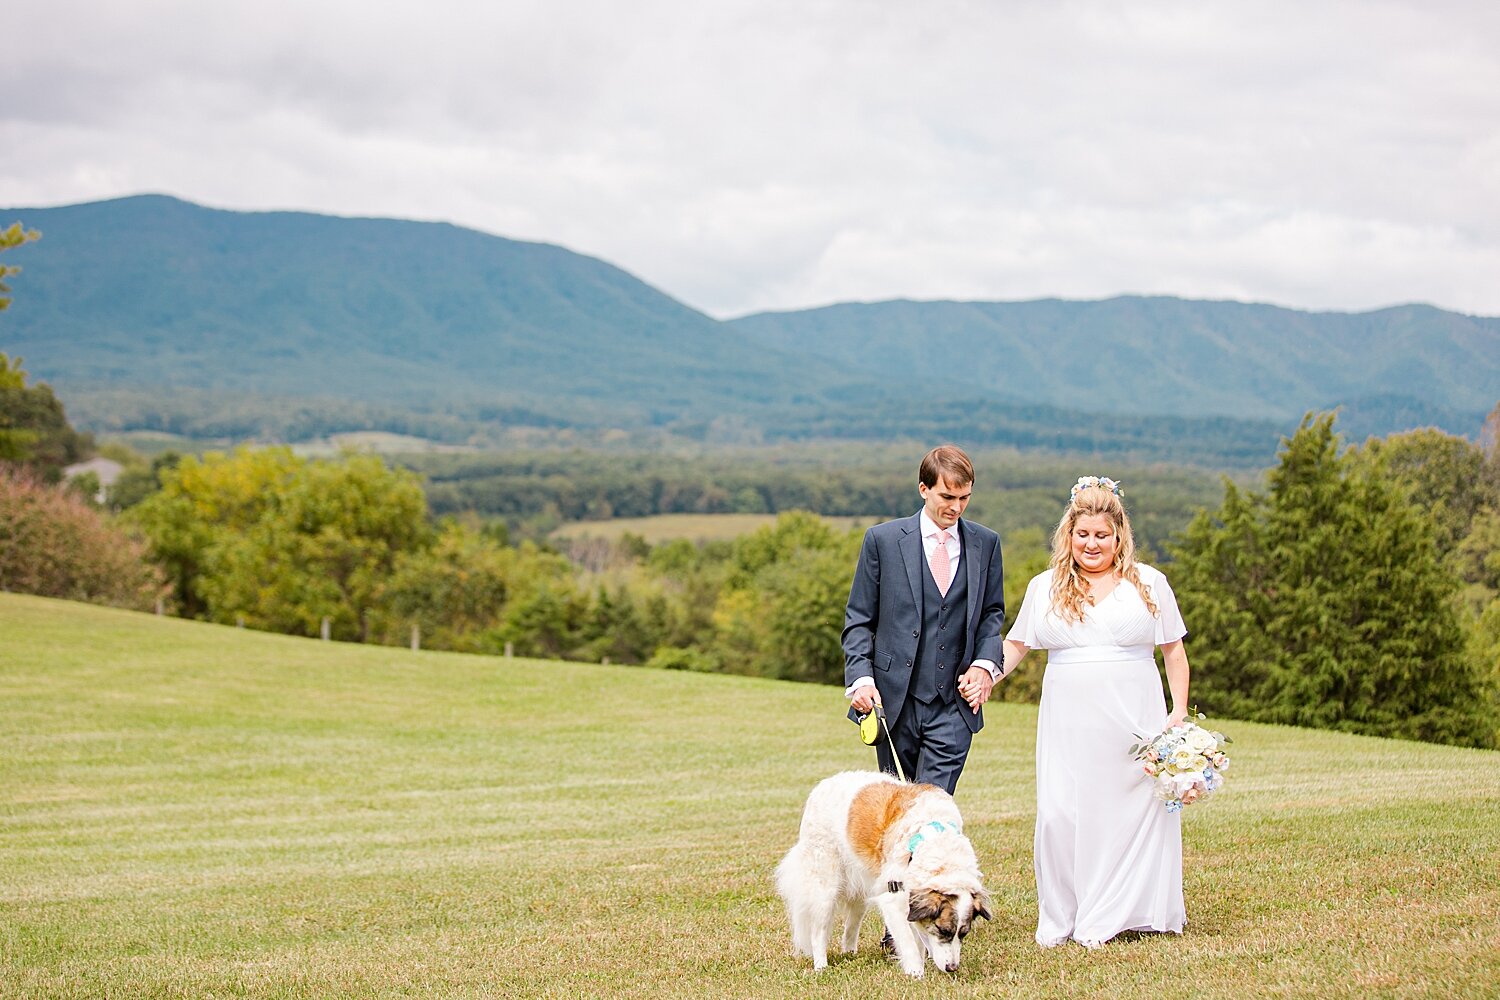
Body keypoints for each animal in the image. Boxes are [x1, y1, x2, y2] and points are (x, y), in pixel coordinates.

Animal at [774, 773, 996, 977]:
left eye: (963, 934)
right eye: (943, 931)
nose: (952, 968)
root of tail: (824, 784)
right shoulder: (894, 898)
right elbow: (909, 943)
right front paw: (916, 974)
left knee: (851, 924)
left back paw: (850, 953)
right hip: (825, 888)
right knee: (818, 931)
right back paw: (821, 966)